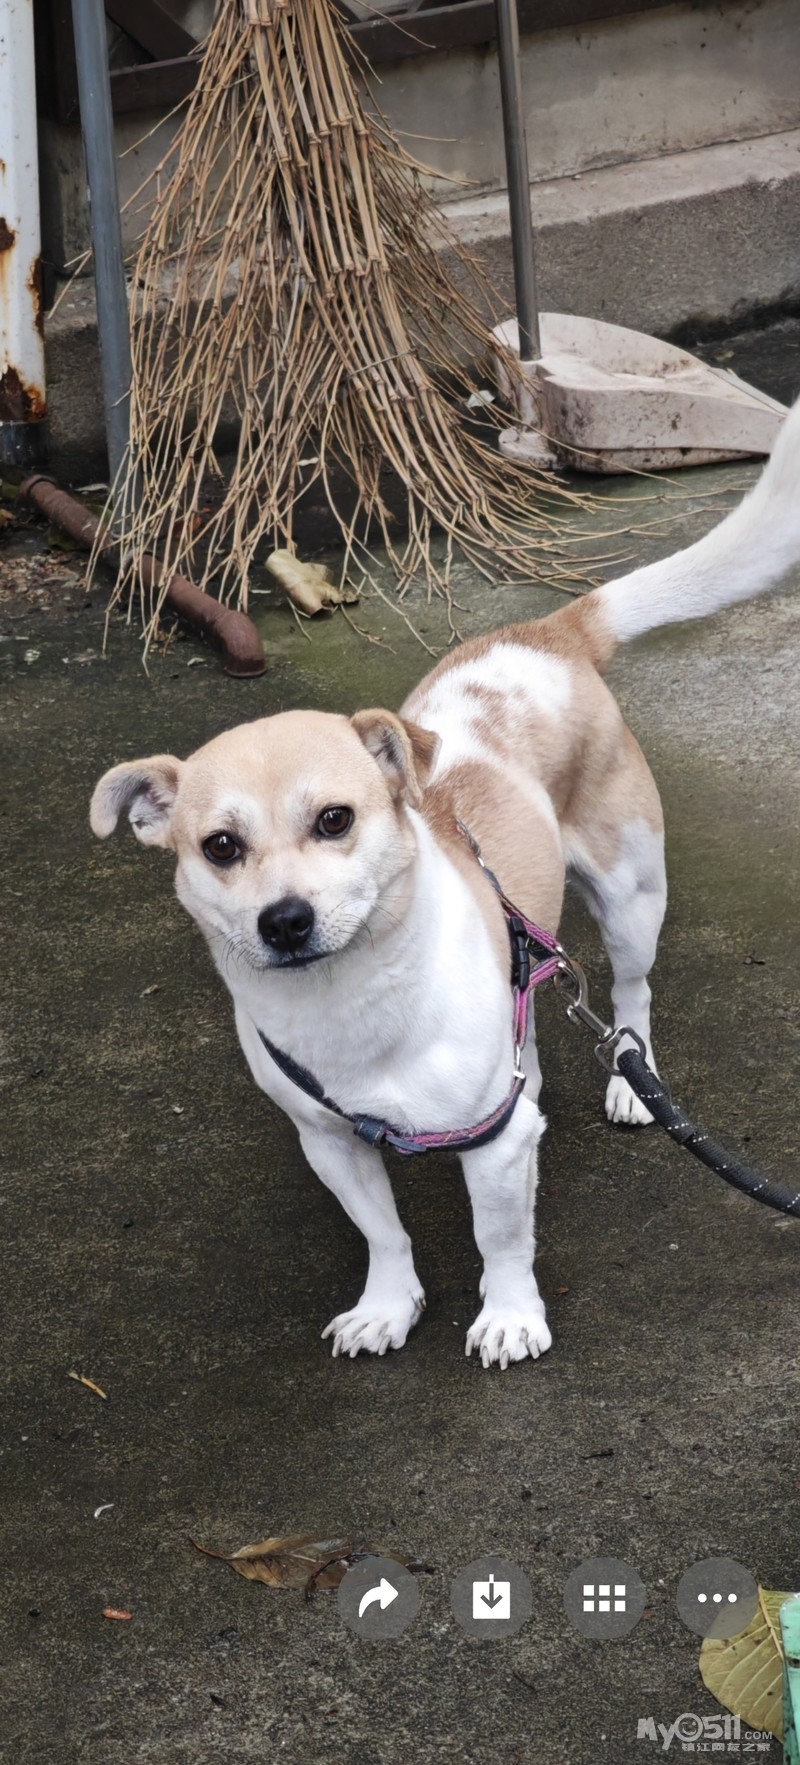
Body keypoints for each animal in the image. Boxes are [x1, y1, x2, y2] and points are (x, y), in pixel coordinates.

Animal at [91, 397, 800, 1369]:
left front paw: (510, 1314)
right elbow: (383, 1233)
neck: (351, 998)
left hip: (631, 895)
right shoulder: (332, 1142)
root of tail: (547, 634)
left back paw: (631, 1075)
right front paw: (388, 1305)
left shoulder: (492, 1151)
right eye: (221, 845)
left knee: (633, 991)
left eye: (336, 819)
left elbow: (499, 1236)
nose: (285, 920)